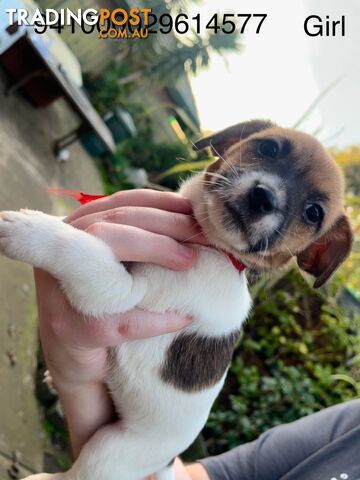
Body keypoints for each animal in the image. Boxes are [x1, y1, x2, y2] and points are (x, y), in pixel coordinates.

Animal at [0, 121, 352, 480]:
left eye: (313, 213)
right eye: (268, 147)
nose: (263, 197)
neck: (207, 242)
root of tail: (167, 462)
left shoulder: (122, 293)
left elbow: (80, 249)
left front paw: (29, 229)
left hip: (109, 452)